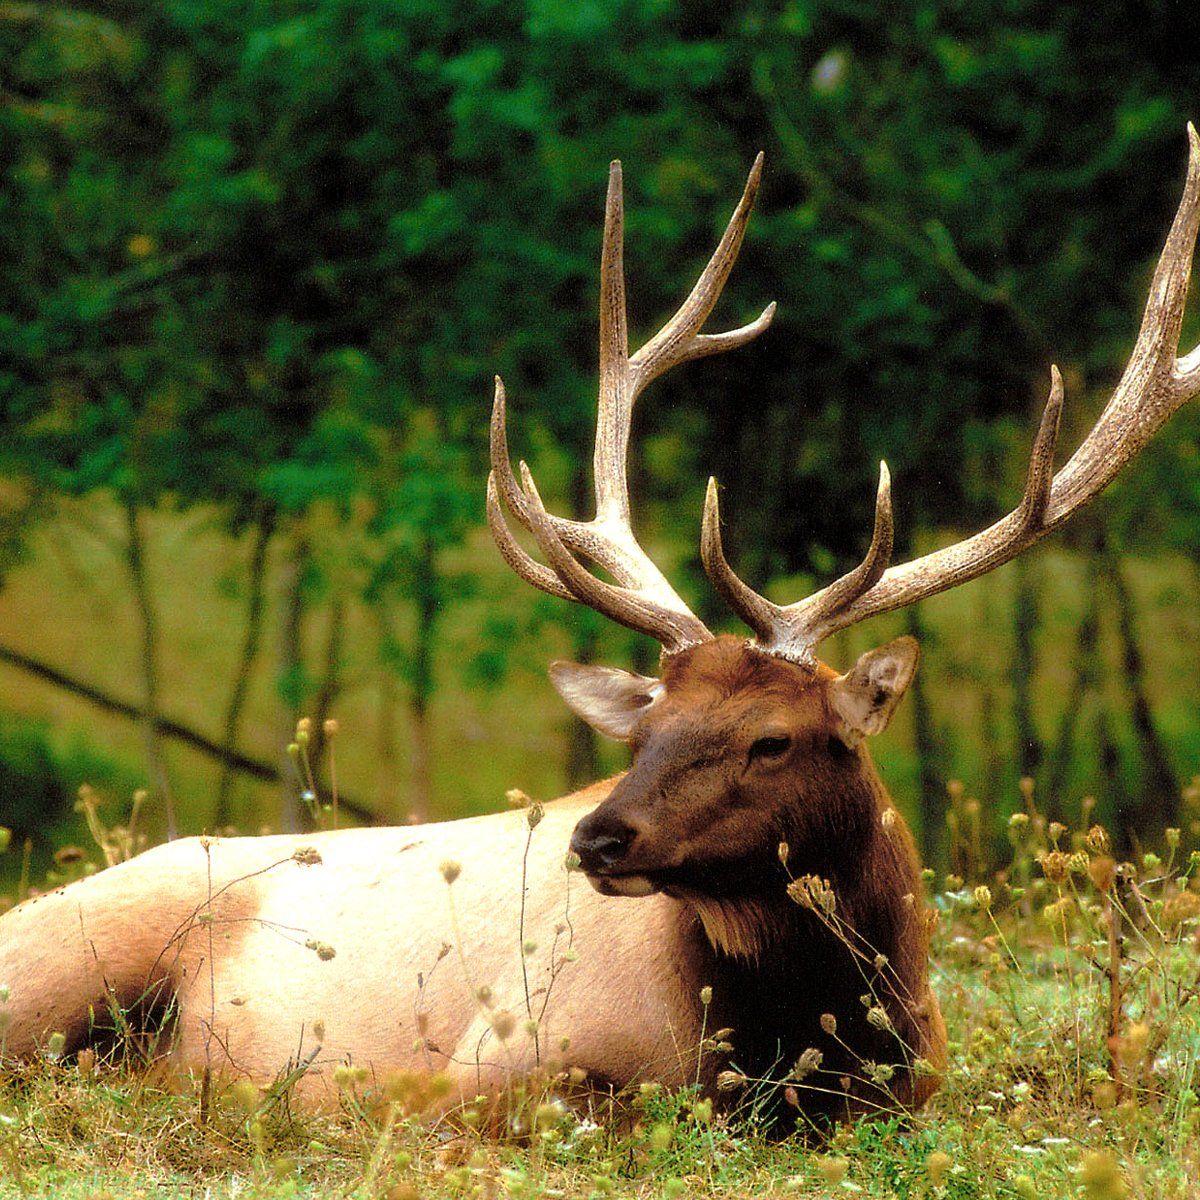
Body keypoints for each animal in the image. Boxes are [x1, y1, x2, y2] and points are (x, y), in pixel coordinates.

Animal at [2, 131, 1200, 1132]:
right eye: (646, 727)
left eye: (772, 738)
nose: (597, 840)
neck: (800, 1042)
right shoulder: (496, 1057)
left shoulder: (921, 1088)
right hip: (60, 960)